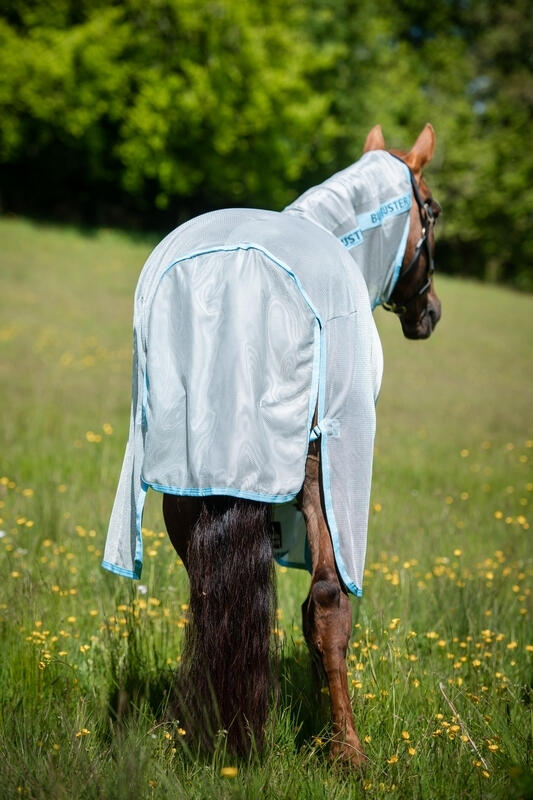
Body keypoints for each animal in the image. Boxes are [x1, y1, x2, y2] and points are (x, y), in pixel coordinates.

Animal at [103, 123, 441, 768]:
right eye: (432, 210)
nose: (429, 313)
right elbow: (323, 607)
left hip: (186, 479)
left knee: (207, 594)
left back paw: (195, 723)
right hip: (317, 471)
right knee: (328, 602)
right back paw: (348, 752)